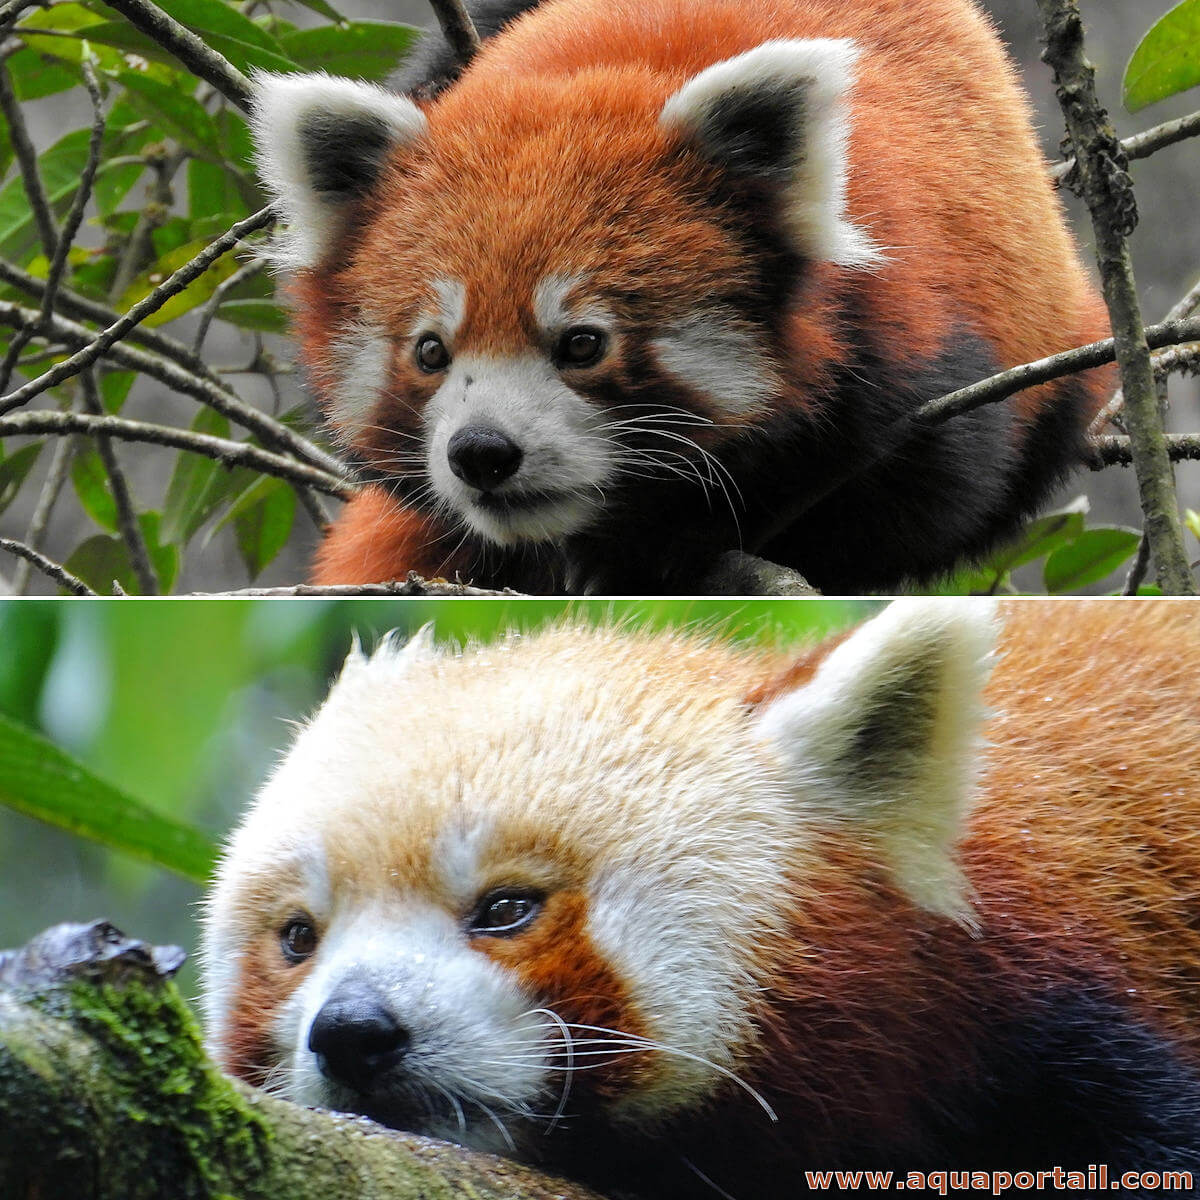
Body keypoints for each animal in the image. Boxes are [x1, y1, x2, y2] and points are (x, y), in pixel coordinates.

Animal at [248, 0, 1108, 595]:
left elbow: (921, 495)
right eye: (430, 351)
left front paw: (661, 545)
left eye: (583, 343)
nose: (481, 452)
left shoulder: (918, 331)